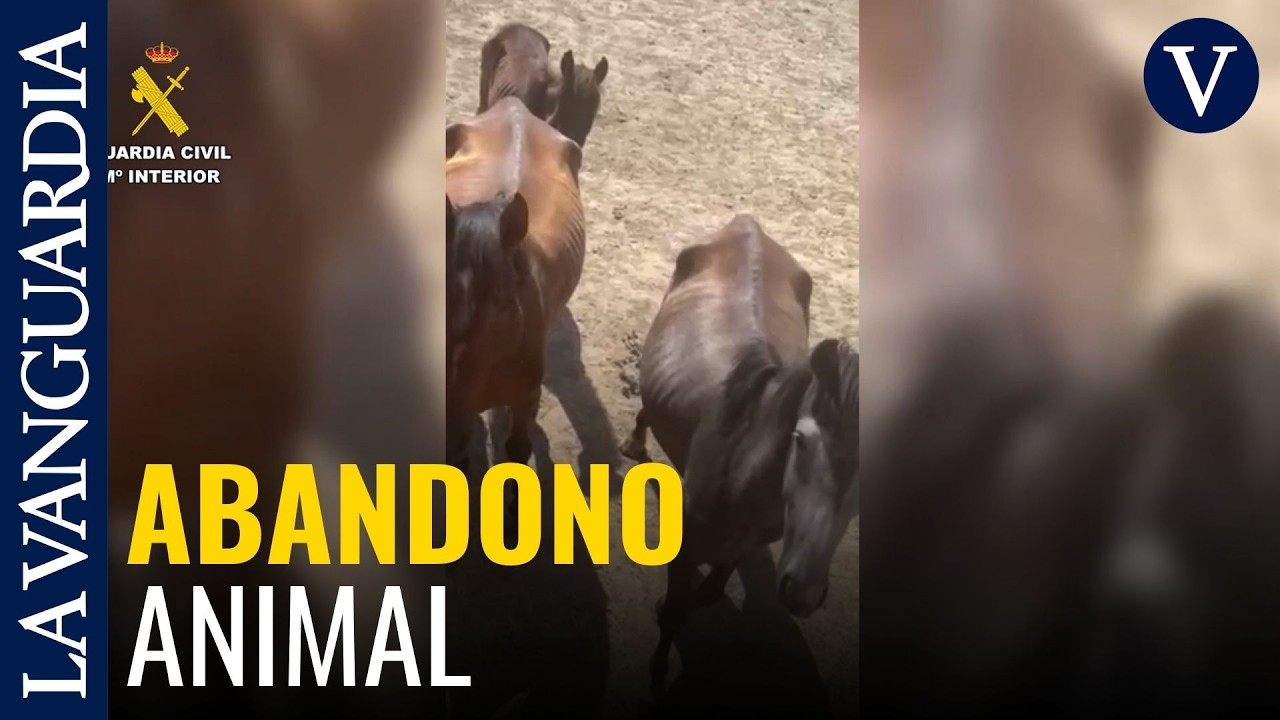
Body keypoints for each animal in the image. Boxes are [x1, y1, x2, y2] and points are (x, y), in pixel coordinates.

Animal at [618, 214, 857, 695]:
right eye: (800, 439)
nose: (803, 594)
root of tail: (749, 225)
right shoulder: (687, 541)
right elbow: (675, 612)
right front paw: (658, 666)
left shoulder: (747, 539)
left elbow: (713, 584)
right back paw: (634, 444)